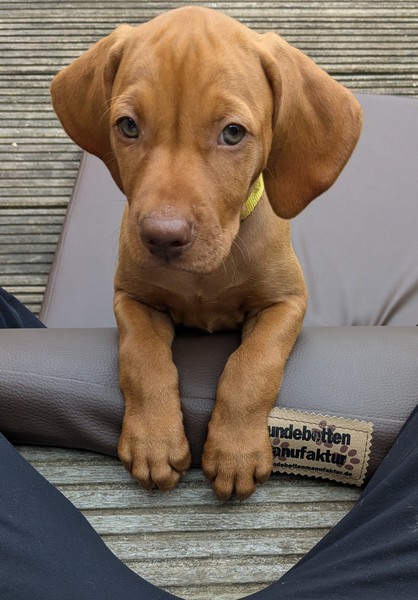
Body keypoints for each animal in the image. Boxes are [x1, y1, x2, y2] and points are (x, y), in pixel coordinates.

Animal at [51, 6, 362, 500]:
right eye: (128, 126)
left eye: (232, 133)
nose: (162, 237)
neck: (206, 275)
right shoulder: (131, 298)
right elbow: (142, 359)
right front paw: (153, 440)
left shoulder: (287, 303)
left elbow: (251, 366)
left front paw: (235, 451)